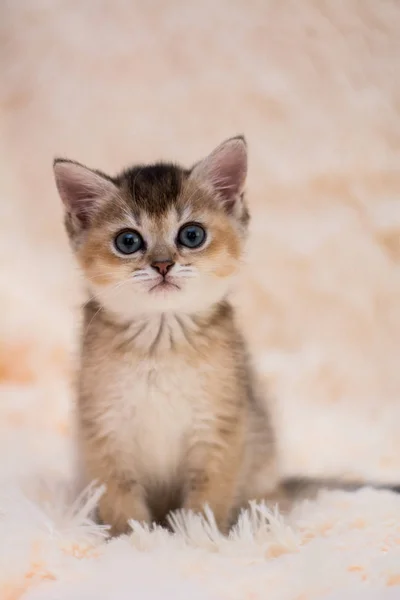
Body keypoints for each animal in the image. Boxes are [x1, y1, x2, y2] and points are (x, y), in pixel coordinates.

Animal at [52, 135, 278, 536]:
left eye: (192, 235)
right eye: (128, 241)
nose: (162, 264)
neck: (161, 343)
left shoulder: (220, 427)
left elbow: (207, 499)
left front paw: (198, 538)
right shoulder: (104, 429)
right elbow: (121, 500)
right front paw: (137, 540)